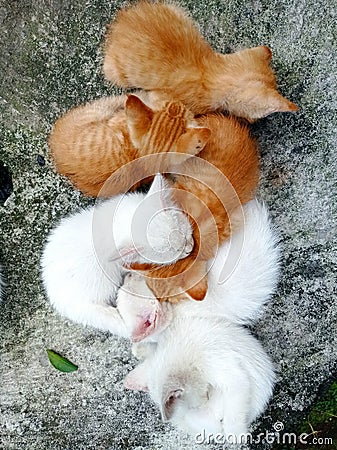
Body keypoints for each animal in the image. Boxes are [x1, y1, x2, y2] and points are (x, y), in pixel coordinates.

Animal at [103, 0, 296, 122]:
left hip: (178, 11)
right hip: (114, 72)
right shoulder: (160, 98)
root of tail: (123, 19)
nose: (251, 122)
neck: (210, 72)